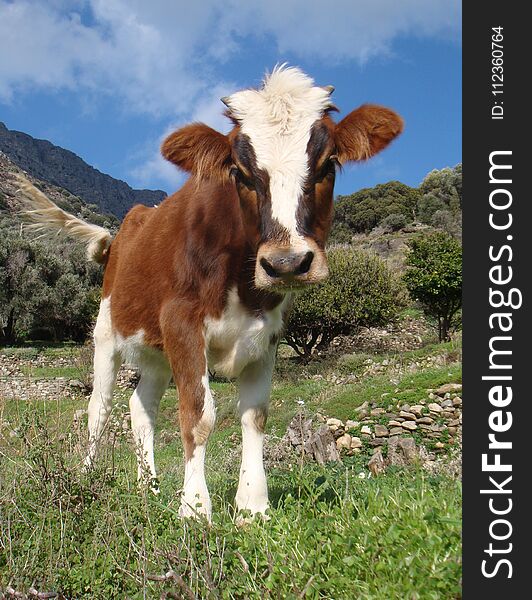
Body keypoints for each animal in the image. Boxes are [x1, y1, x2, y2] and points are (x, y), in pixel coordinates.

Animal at [16, 67, 402, 520]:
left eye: (328, 164)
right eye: (240, 172)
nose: (287, 263)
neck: (242, 284)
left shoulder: (268, 333)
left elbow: (254, 416)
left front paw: (252, 506)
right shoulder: (182, 322)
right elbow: (198, 415)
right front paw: (196, 508)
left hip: (156, 351)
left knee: (141, 408)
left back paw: (149, 489)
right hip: (107, 331)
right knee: (100, 408)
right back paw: (86, 477)